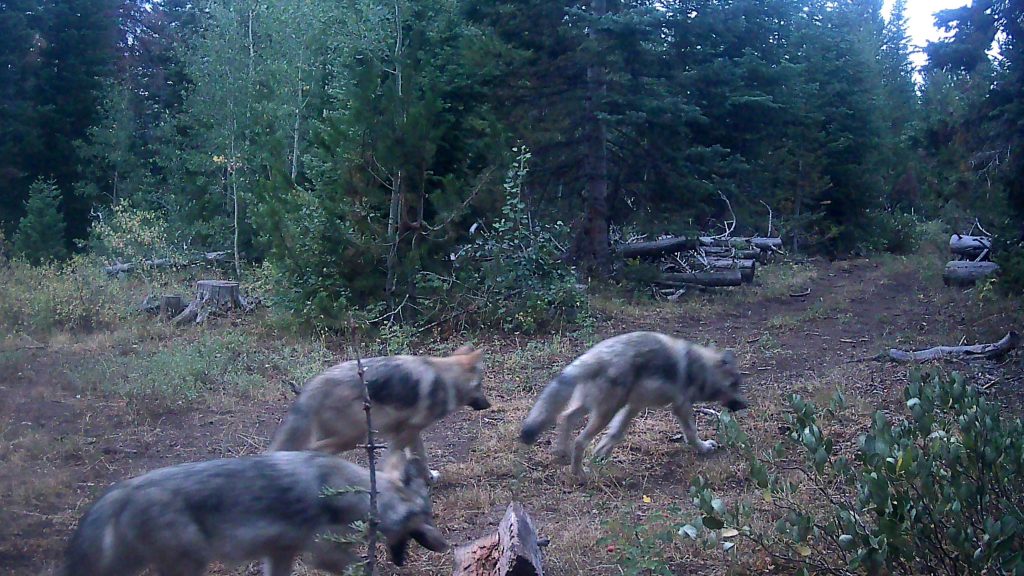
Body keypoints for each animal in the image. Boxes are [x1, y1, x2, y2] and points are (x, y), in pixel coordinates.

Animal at [62, 451, 447, 576]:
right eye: (427, 517)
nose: (446, 545)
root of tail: (122, 490)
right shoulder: (323, 553)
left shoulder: (279, 553)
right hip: (188, 565)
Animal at [270, 345, 489, 482]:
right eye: (480, 385)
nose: (488, 405)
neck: (446, 379)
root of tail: (312, 387)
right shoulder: (406, 432)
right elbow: (395, 460)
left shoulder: (409, 431)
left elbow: (419, 457)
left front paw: (428, 478)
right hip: (353, 437)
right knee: (311, 452)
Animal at [519, 331, 748, 478]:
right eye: (735, 385)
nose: (745, 405)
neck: (702, 368)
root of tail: (594, 355)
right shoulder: (681, 406)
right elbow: (692, 433)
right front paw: (704, 448)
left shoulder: (634, 407)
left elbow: (614, 435)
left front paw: (601, 455)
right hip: (605, 412)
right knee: (579, 440)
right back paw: (580, 474)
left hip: (597, 408)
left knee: (564, 418)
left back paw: (561, 454)